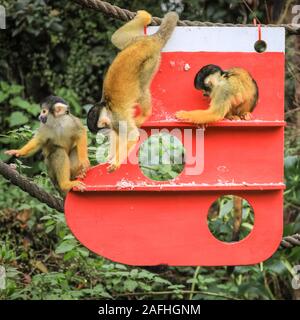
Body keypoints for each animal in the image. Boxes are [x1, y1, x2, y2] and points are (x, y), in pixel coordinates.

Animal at [86, 10, 178, 172]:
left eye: (100, 131)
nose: (103, 135)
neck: (106, 107)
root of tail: (150, 41)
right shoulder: (114, 123)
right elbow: (117, 136)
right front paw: (110, 157)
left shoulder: (117, 119)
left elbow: (133, 135)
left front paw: (116, 162)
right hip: (134, 41)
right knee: (116, 38)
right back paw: (144, 17)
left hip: (151, 61)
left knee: (141, 89)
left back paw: (146, 113)